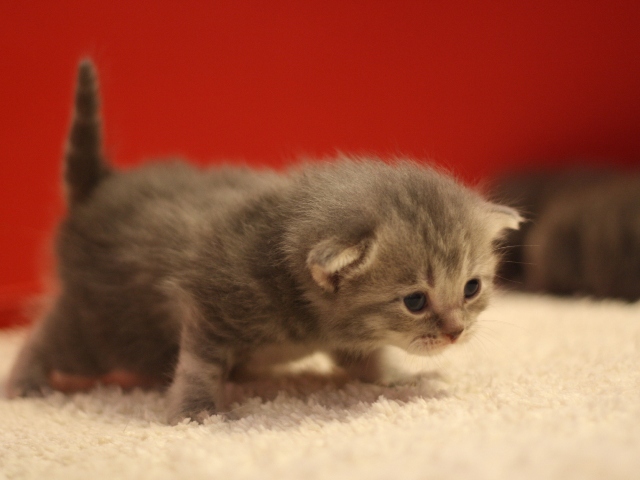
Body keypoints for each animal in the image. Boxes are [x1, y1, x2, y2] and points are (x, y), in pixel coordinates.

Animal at [6, 60, 520, 424]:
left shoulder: (342, 336)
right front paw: (196, 412)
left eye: (471, 288)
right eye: (414, 301)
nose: (456, 332)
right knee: (46, 337)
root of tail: (100, 187)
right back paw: (24, 382)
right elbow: (199, 364)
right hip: (104, 328)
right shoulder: (208, 303)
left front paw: (398, 378)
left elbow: (366, 360)